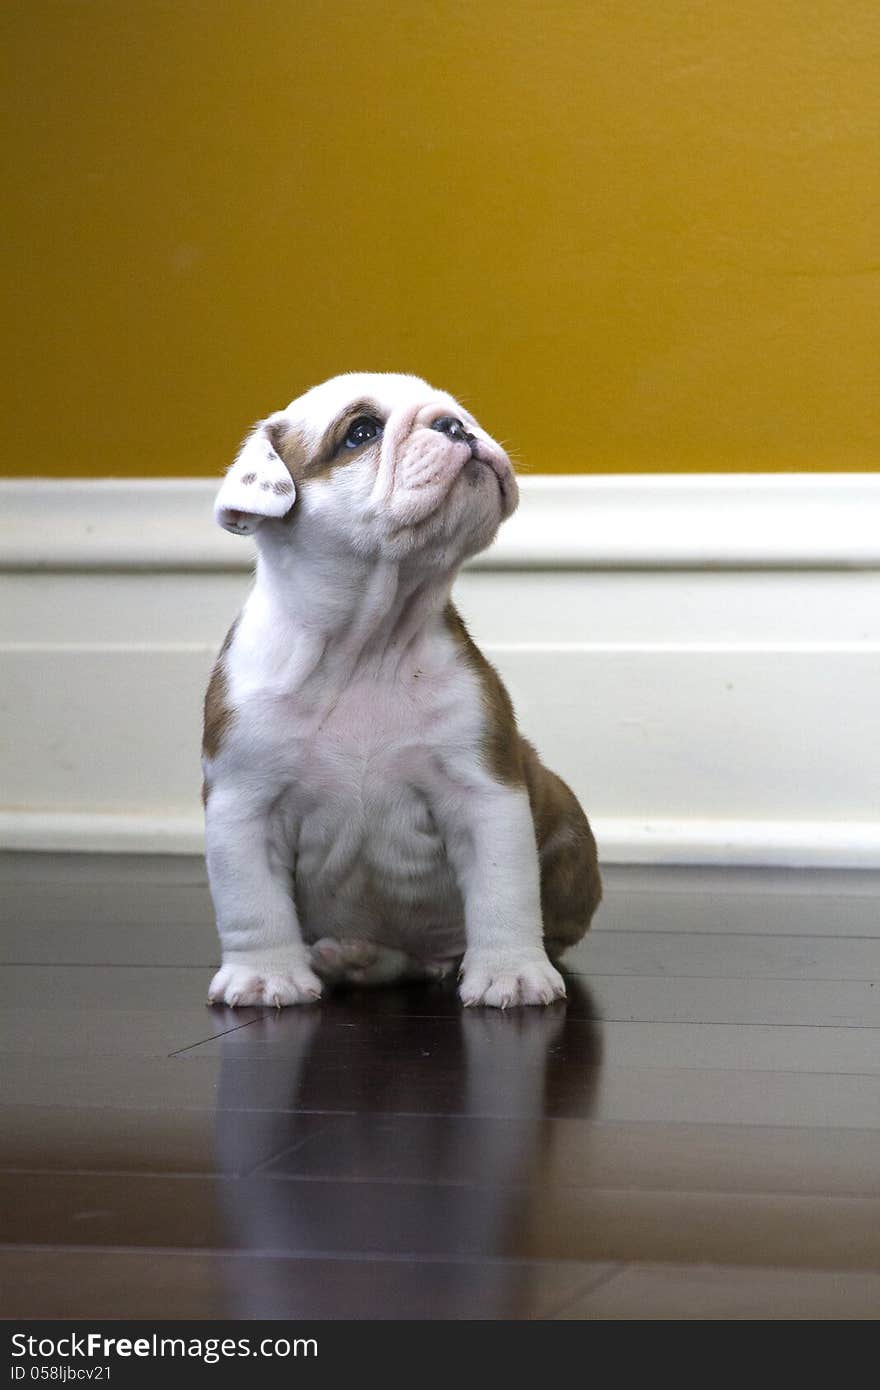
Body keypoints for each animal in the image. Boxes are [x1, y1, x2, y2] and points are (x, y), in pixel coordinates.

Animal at [202, 369, 600, 1006]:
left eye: (458, 412)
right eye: (361, 431)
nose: (454, 426)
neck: (367, 642)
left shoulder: (485, 794)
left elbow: (504, 894)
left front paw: (511, 971)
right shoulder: (244, 804)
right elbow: (252, 905)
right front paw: (265, 976)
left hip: (561, 812)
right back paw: (350, 957)